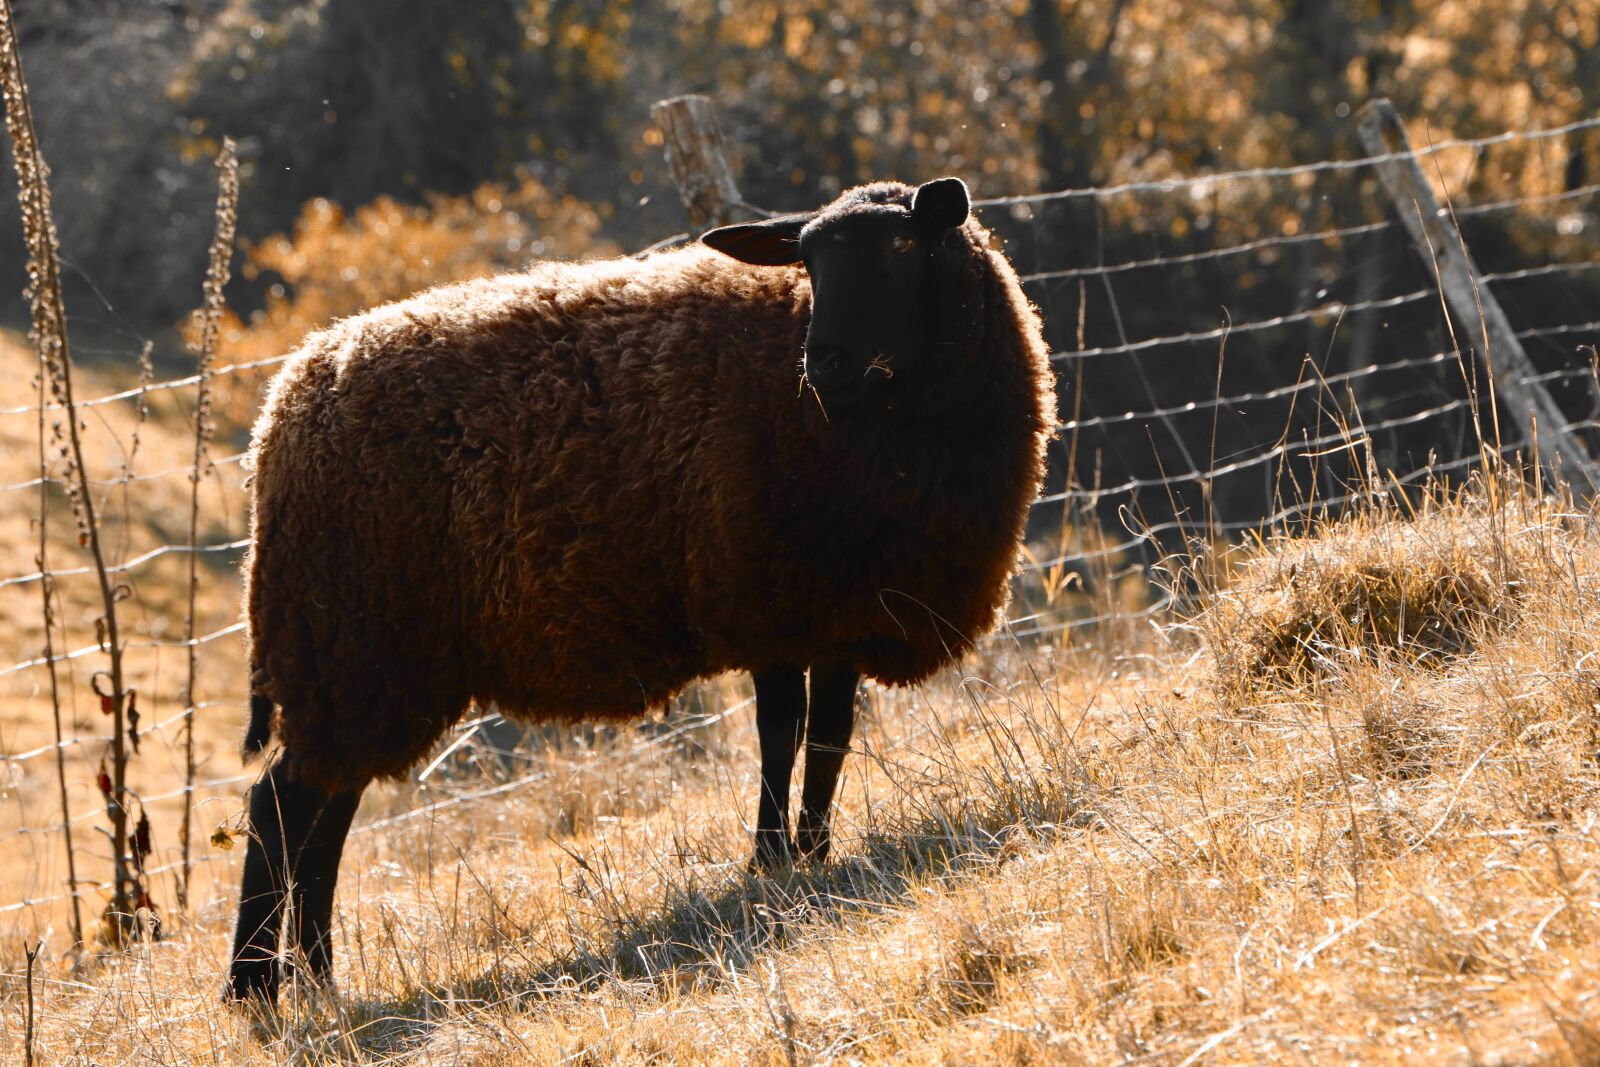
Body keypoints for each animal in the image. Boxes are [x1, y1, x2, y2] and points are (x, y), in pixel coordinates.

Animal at [225, 177, 1057, 1003]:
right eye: (808, 260)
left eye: (902, 244)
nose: (823, 361)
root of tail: (280, 416)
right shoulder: (766, 598)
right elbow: (780, 734)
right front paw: (770, 860)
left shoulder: (838, 608)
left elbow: (829, 737)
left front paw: (815, 850)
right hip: (352, 640)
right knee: (281, 804)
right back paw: (255, 985)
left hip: (357, 661)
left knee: (323, 813)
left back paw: (319, 977)